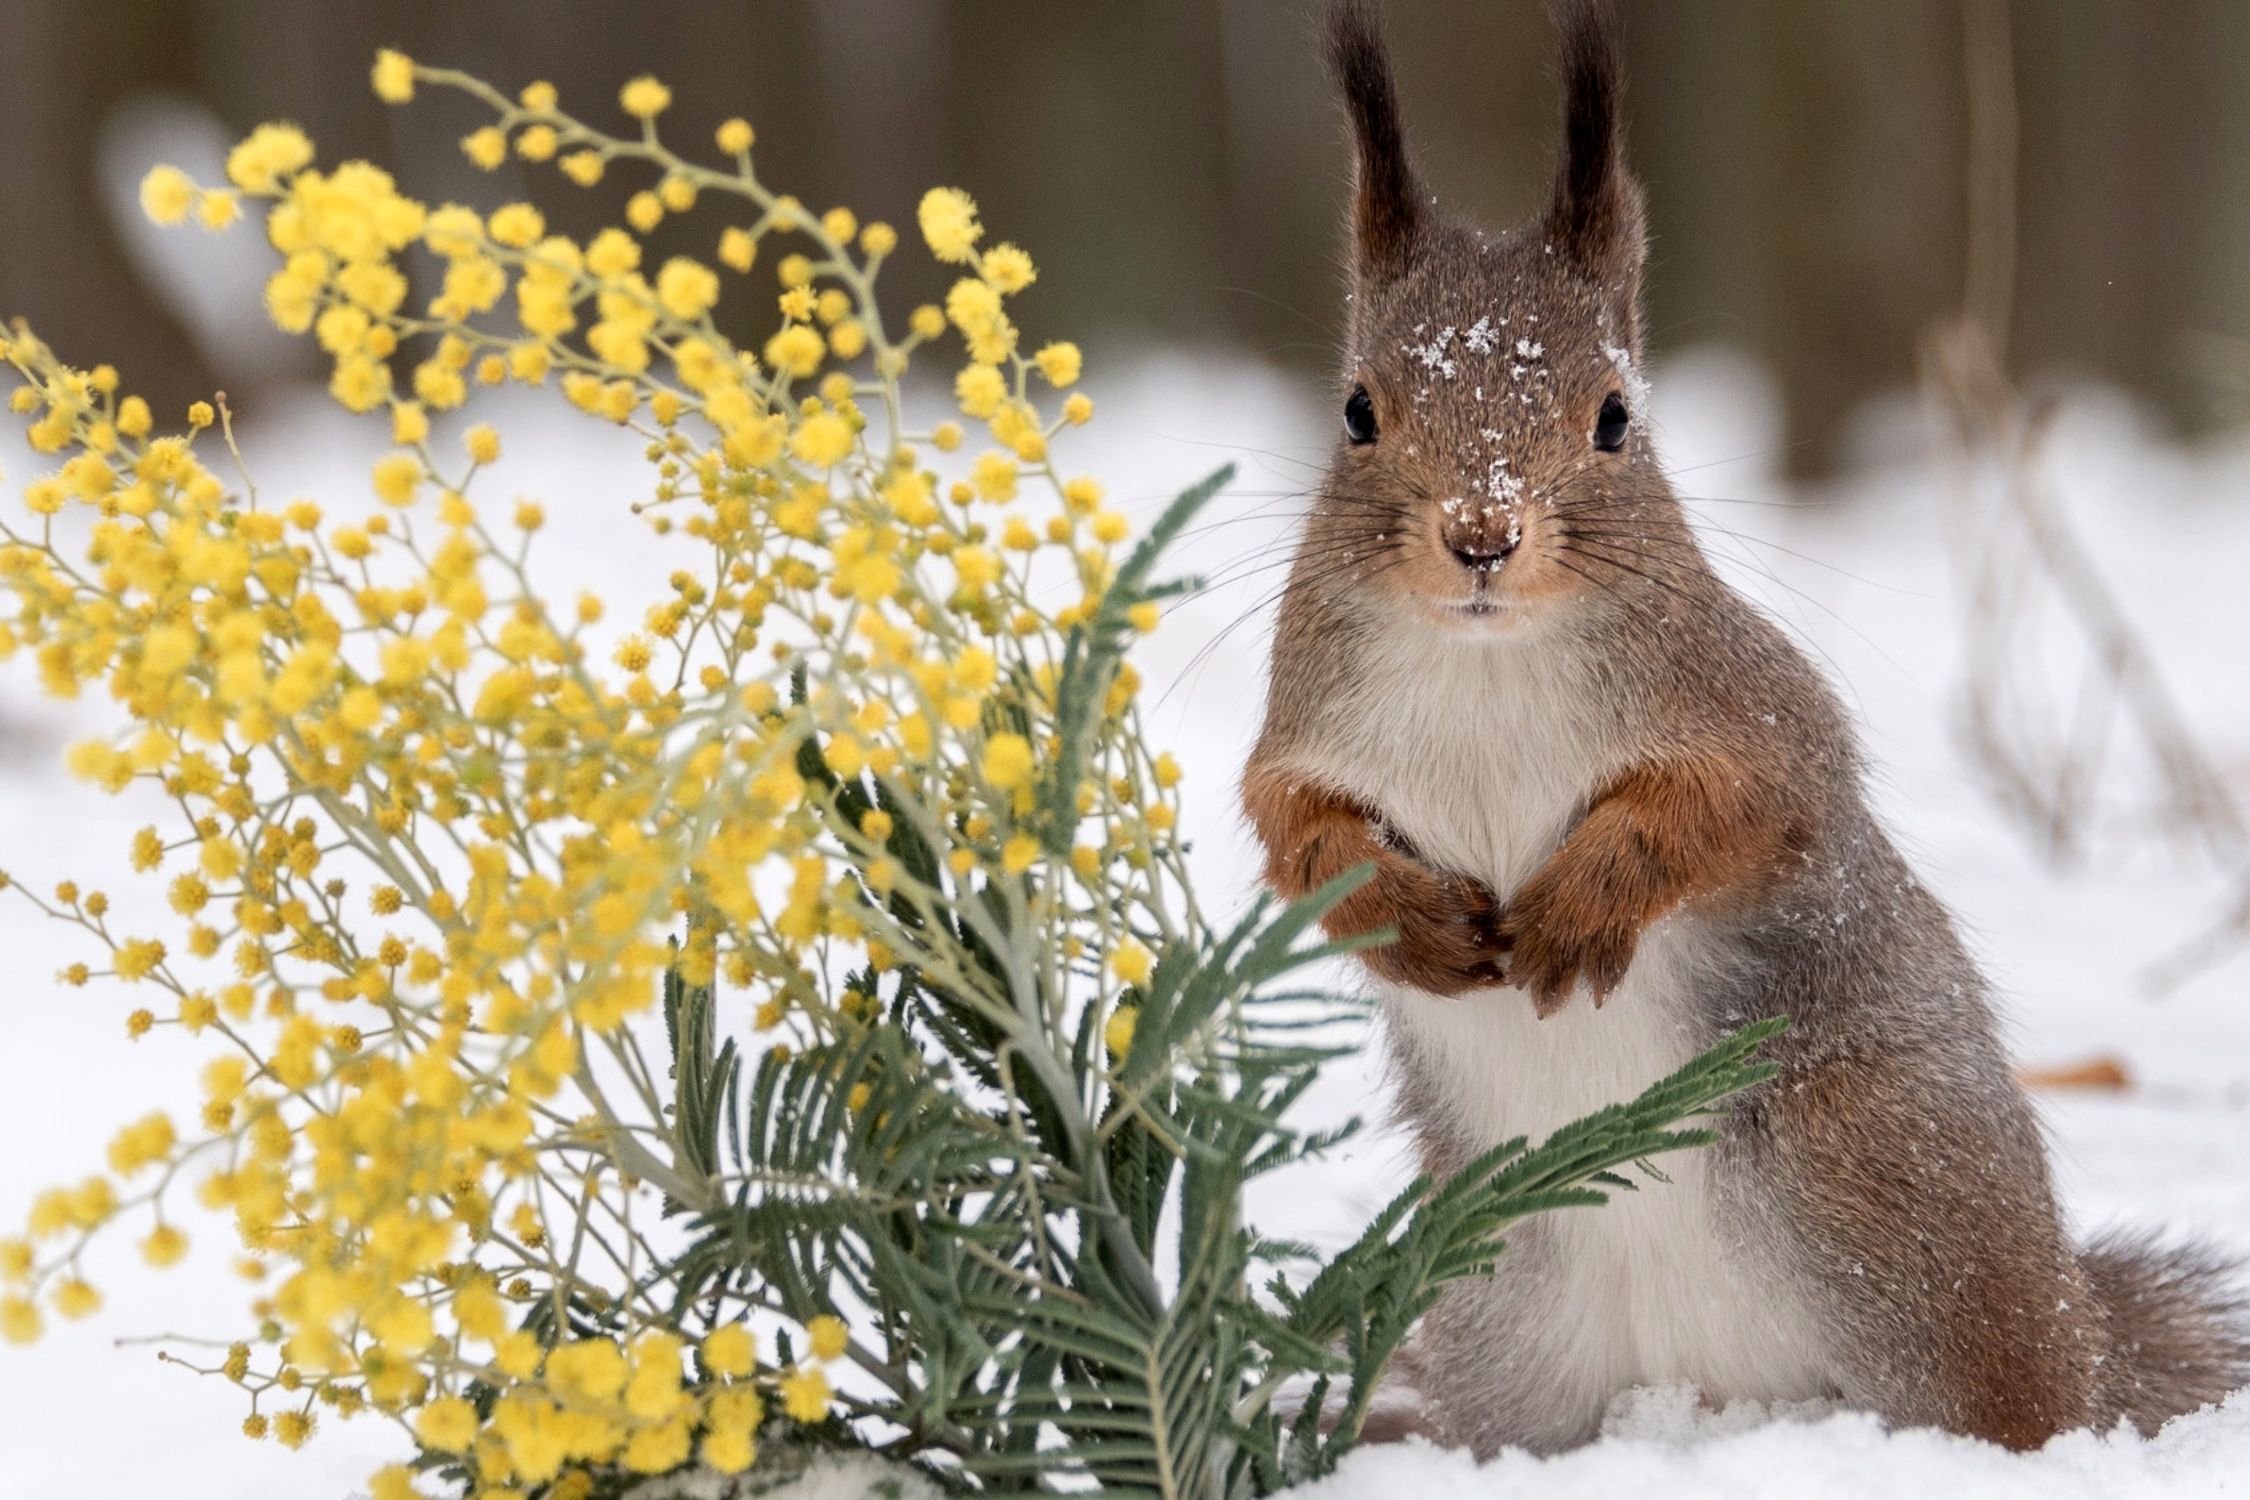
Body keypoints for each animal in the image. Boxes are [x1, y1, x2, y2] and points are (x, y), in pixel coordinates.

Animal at [1251, 0, 2250, 1457]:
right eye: (1356, 409)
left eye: (1617, 416)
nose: (1482, 536)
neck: (1487, 663)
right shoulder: (1300, 734)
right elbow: (1296, 843)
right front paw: (1409, 917)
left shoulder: (1760, 717)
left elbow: (1733, 810)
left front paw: (1586, 900)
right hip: (1501, 1306)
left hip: (1884, 1203)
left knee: (2018, 1400)